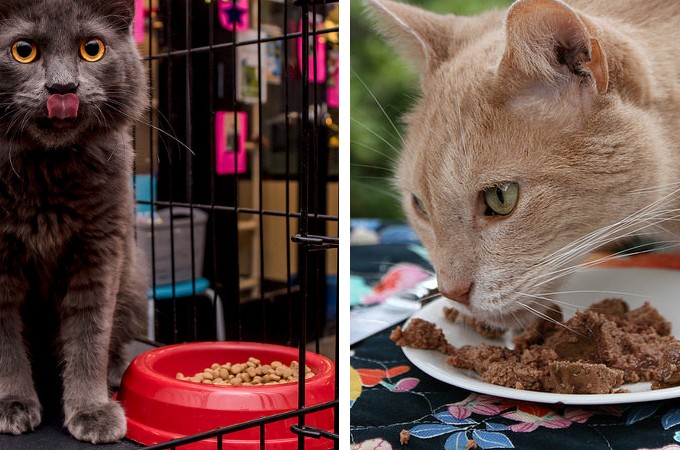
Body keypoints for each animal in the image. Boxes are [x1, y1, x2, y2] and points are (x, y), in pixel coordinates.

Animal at [0, 0, 148, 442]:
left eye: (92, 49)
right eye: (23, 50)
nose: (63, 88)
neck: (46, 168)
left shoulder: (100, 250)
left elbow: (89, 334)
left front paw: (92, 410)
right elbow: (6, 344)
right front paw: (12, 405)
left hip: (133, 287)